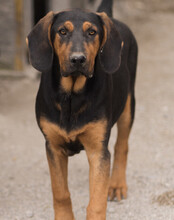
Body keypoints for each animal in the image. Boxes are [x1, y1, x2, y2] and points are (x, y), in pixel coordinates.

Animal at [27, 0, 138, 218]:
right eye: (62, 31)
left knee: (122, 146)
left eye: (92, 32)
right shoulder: (53, 147)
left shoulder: (98, 151)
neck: (72, 95)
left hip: (128, 105)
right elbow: (60, 193)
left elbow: (96, 202)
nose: (78, 59)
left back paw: (117, 184)